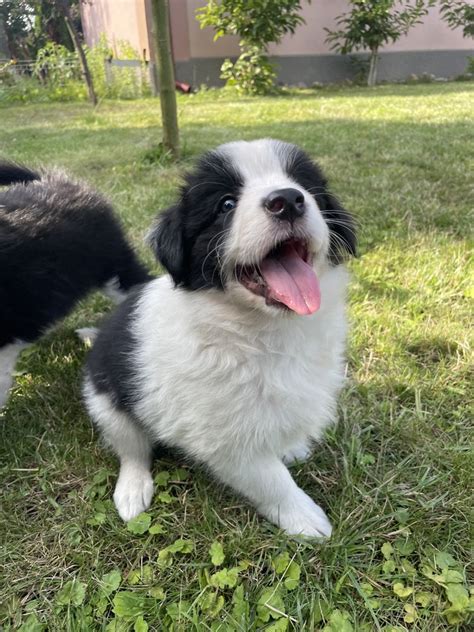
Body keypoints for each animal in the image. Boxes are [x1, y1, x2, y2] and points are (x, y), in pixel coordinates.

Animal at [84, 141, 356, 536]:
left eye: (304, 186)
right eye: (226, 205)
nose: (288, 200)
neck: (263, 330)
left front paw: (290, 446)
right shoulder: (224, 439)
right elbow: (271, 479)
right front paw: (305, 518)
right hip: (107, 402)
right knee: (132, 449)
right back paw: (132, 490)